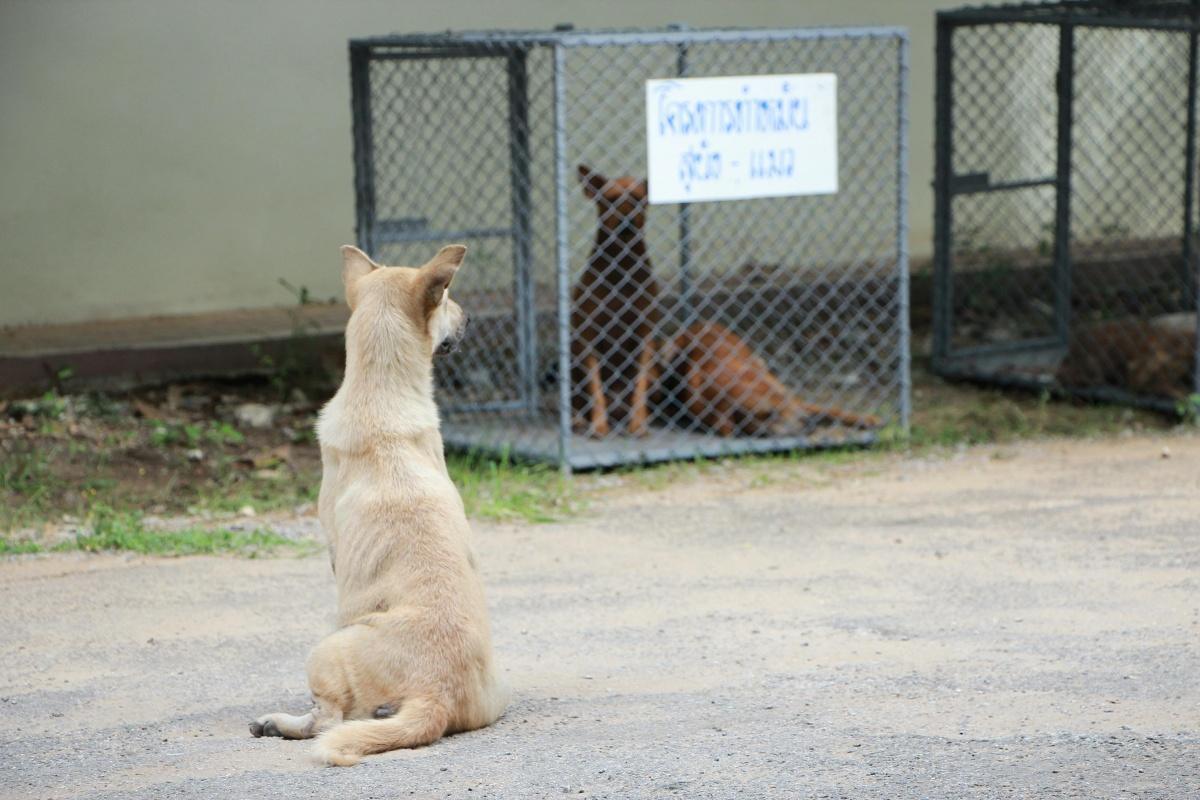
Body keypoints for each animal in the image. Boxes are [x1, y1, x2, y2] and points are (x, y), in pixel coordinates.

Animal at [252, 245, 506, 767]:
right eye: (447, 298)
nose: (470, 317)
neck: (381, 393)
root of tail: (437, 695)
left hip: (325, 649)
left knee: (328, 721)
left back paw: (279, 724)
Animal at [568, 164, 657, 438]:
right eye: (611, 199)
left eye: (639, 199)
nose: (627, 222)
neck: (621, 266)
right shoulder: (588, 338)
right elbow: (595, 387)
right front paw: (598, 425)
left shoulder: (645, 336)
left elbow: (640, 383)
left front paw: (638, 424)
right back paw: (579, 420)